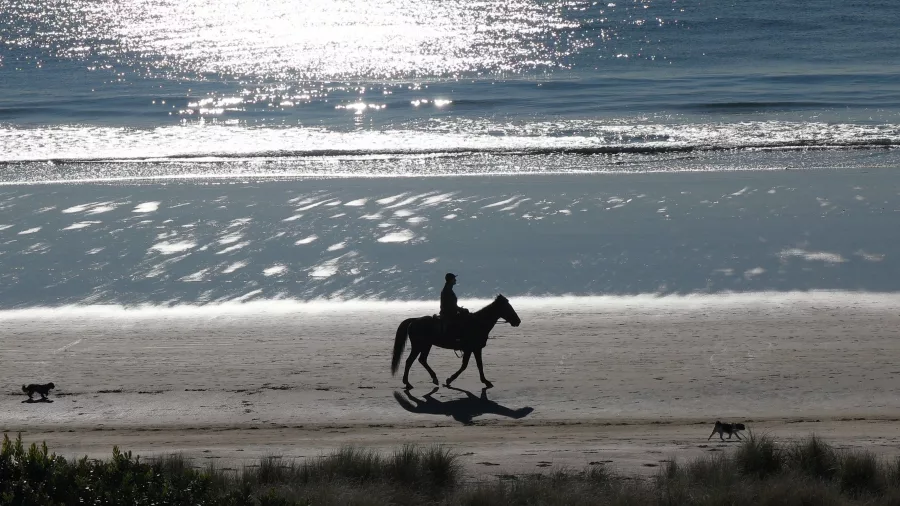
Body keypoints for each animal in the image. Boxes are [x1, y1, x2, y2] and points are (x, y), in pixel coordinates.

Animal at [391, 294, 521, 389]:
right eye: (508, 307)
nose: (518, 321)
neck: (478, 323)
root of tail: (414, 320)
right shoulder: (472, 349)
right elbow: (466, 365)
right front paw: (450, 379)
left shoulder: (474, 349)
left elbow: (477, 365)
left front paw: (485, 381)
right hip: (418, 346)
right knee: (410, 361)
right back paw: (407, 383)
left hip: (426, 345)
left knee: (422, 360)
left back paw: (433, 378)